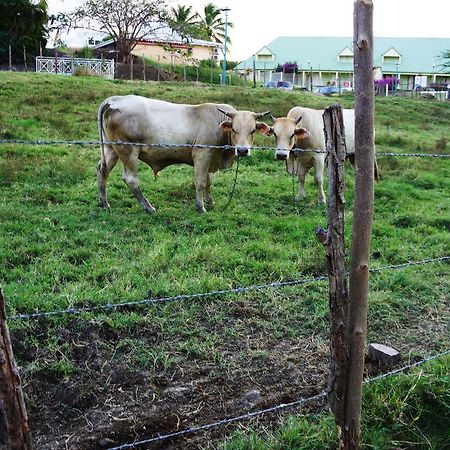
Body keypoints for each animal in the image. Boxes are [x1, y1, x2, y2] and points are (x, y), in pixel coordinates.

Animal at [96, 94, 268, 213]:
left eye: (253, 130)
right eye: (234, 129)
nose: (243, 150)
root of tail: (115, 99)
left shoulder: (210, 159)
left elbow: (209, 181)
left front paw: (210, 201)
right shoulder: (202, 154)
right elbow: (200, 182)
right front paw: (201, 207)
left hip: (111, 150)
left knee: (102, 170)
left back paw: (104, 203)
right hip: (128, 151)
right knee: (131, 180)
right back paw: (149, 207)